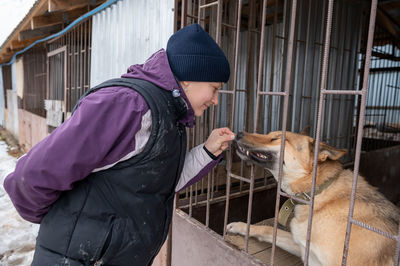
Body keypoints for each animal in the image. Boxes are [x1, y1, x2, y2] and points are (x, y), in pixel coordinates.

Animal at [227, 131, 398, 266]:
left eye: (276, 138)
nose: (239, 133)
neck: (317, 193)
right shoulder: (303, 247)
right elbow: (268, 230)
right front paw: (240, 226)